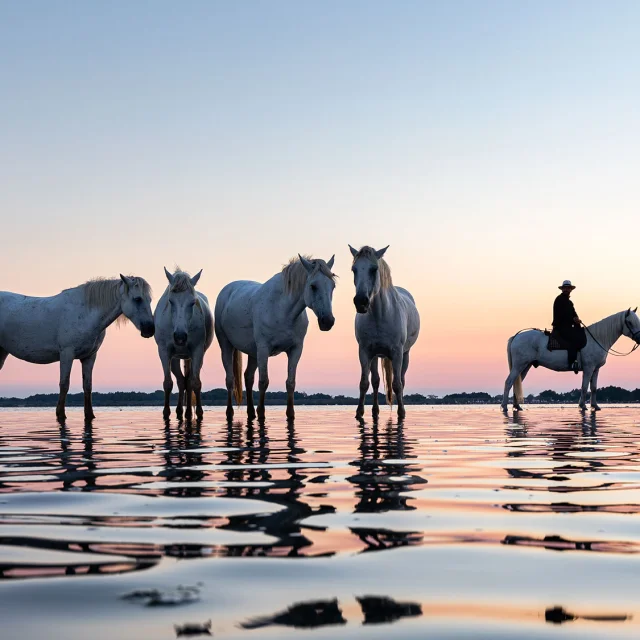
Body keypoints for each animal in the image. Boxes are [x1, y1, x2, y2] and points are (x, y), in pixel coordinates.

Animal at [0, 274, 154, 420]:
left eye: (149, 300)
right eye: (138, 299)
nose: (150, 329)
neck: (86, 312)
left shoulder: (89, 357)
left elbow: (87, 386)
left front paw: (90, 414)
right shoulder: (67, 354)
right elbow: (64, 384)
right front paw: (60, 414)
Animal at [154, 268, 214, 422]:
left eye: (193, 302)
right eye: (170, 301)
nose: (180, 337)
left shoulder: (197, 352)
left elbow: (195, 382)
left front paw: (199, 413)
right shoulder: (164, 352)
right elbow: (168, 383)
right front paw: (166, 413)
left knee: (188, 381)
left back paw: (187, 413)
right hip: (175, 358)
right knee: (181, 381)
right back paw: (180, 411)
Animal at [214, 255, 336, 420]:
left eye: (332, 286)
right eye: (313, 286)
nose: (328, 321)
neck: (283, 310)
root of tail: (227, 290)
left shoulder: (295, 350)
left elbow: (290, 382)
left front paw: (290, 414)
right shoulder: (264, 349)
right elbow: (263, 381)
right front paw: (261, 413)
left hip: (253, 352)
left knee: (248, 377)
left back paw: (251, 412)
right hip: (227, 346)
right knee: (230, 379)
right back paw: (230, 412)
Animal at [350, 248, 420, 422]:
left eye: (374, 269)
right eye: (354, 269)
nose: (360, 301)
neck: (379, 315)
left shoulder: (397, 353)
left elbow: (397, 384)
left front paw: (401, 412)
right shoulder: (365, 352)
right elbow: (364, 382)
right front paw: (359, 412)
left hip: (405, 354)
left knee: (401, 380)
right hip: (376, 356)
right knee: (375, 381)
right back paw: (375, 411)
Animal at [502, 308, 640, 410]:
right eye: (630, 322)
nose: (639, 339)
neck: (597, 338)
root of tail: (516, 337)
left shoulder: (595, 369)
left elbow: (594, 387)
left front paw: (595, 406)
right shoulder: (588, 368)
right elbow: (584, 387)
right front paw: (582, 406)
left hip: (526, 366)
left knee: (516, 382)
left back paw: (517, 406)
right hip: (519, 365)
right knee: (509, 382)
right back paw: (504, 406)